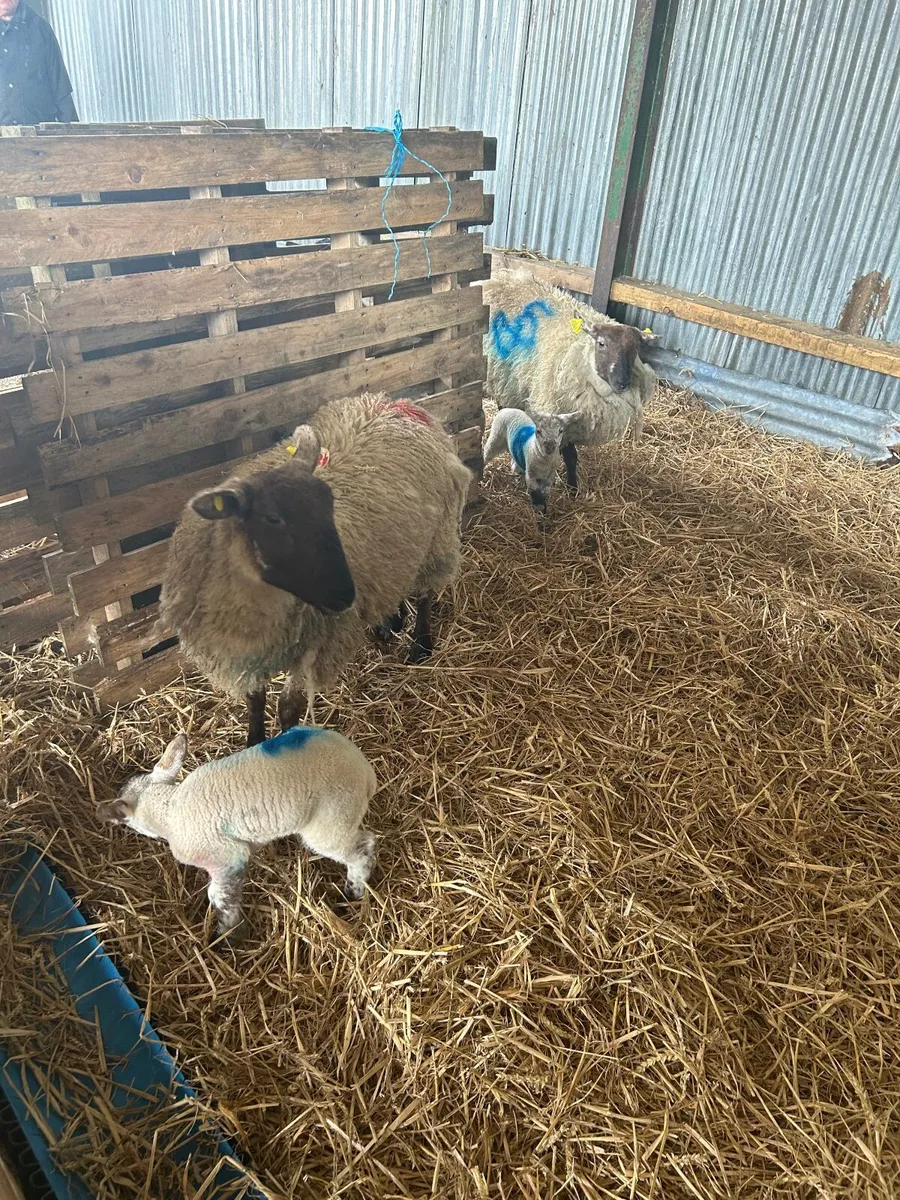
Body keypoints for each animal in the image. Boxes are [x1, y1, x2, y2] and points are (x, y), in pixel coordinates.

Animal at [96, 727, 377, 944]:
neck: (170, 811)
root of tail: (366, 771)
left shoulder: (226, 857)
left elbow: (218, 896)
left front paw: (228, 933)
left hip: (332, 818)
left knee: (363, 847)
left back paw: (353, 891)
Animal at [159, 393, 473, 747]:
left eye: (329, 503)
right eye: (273, 518)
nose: (346, 596)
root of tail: (398, 404)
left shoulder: (315, 642)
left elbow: (288, 707)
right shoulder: (250, 650)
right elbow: (255, 700)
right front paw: (254, 743)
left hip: (437, 537)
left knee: (424, 592)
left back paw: (420, 643)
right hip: (399, 546)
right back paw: (389, 622)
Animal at [483, 269, 657, 490]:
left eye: (635, 349)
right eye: (601, 343)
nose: (622, 383)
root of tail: (499, 277)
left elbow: (572, 458)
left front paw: (573, 488)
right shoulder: (558, 414)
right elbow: (568, 455)